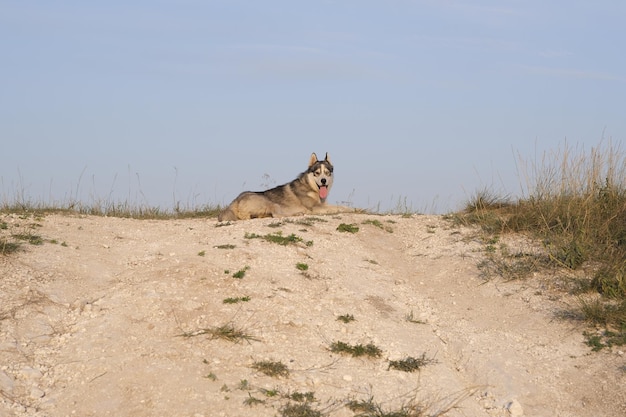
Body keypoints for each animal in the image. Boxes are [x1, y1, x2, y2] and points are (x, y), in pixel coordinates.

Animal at [217, 151, 352, 219]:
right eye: (317, 173)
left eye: (327, 173)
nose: (323, 181)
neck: (310, 188)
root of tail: (235, 201)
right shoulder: (316, 207)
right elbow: (337, 208)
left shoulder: (323, 204)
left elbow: (338, 206)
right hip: (271, 203)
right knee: (277, 215)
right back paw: (298, 213)